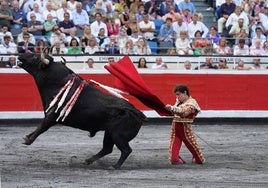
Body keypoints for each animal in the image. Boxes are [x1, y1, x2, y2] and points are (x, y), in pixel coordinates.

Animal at [17, 53, 148, 169]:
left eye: (35, 57)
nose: (20, 55)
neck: (58, 83)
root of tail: (136, 112)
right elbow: (40, 127)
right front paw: (27, 137)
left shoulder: (52, 115)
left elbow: (41, 127)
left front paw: (28, 140)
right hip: (109, 133)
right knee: (107, 149)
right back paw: (88, 160)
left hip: (118, 135)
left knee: (126, 150)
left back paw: (114, 166)